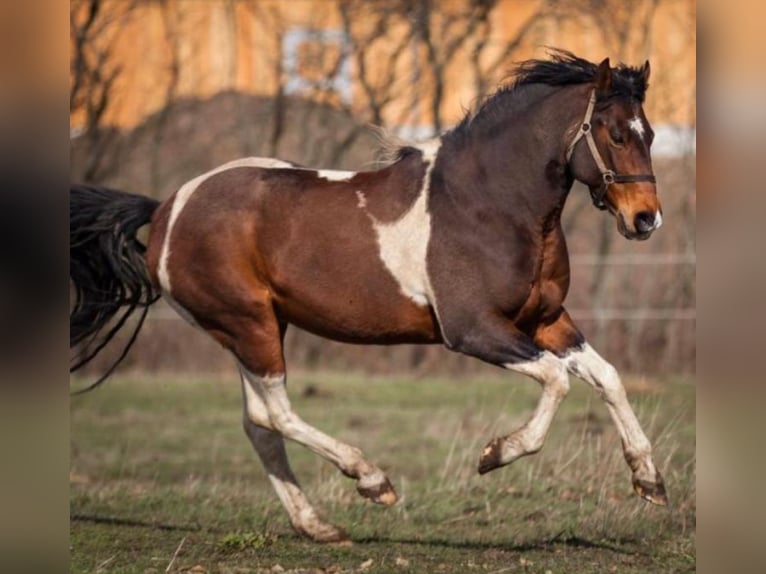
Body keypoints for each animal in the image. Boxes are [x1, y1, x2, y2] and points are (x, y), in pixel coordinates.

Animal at [70, 50, 667, 543]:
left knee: (258, 424)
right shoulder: (474, 330)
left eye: (652, 133)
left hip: (255, 327)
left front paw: (649, 480)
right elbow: (557, 380)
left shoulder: (547, 319)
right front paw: (495, 454)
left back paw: (318, 527)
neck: (490, 203)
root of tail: (166, 209)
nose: (646, 219)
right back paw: (372, 481)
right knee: (276, 414)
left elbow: (607, 377)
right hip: (248, 325)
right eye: (615, 134)